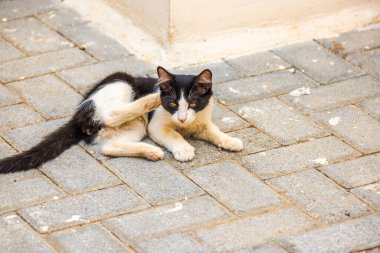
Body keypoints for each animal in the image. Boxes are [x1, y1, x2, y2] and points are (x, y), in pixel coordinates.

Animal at [0, 66, 243, 174]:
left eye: (193, 104)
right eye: (173, 104)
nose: (182, 119)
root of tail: (79, 114)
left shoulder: (201, 120)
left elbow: (212, 130)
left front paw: (229, 140)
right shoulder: (157, 125)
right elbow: (172, 134)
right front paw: (183, 148)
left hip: (134, 128)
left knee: (109, 147)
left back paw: (151, 152)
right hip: (122, 84)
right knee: (113, 113)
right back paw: (150, 99)